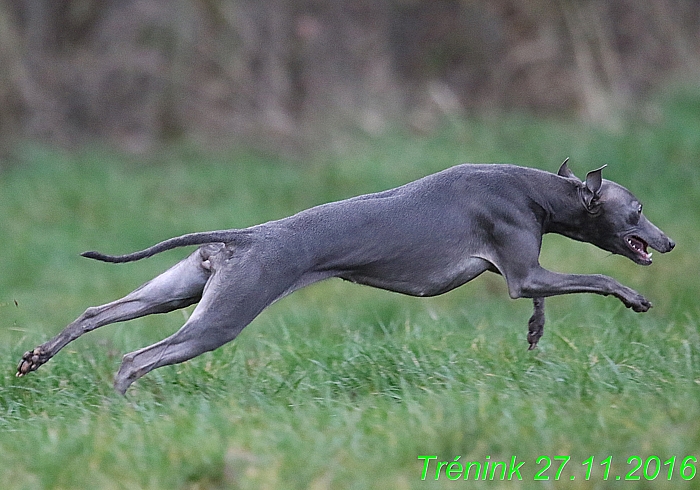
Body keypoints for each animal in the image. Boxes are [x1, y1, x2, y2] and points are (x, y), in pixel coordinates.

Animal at [16, 161, 672, 394]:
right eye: (637, 209)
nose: (668, 242)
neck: (537, 190)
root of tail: (241, 238)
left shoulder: (524, 273)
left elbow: (540, 302)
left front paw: (535, 333)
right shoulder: (524, 271)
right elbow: (594, 276)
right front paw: (635, 298)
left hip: (178, 293)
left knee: (95, 313)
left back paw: (34, 359)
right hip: (218, 320)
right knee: (135, 358)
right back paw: (125, 406)